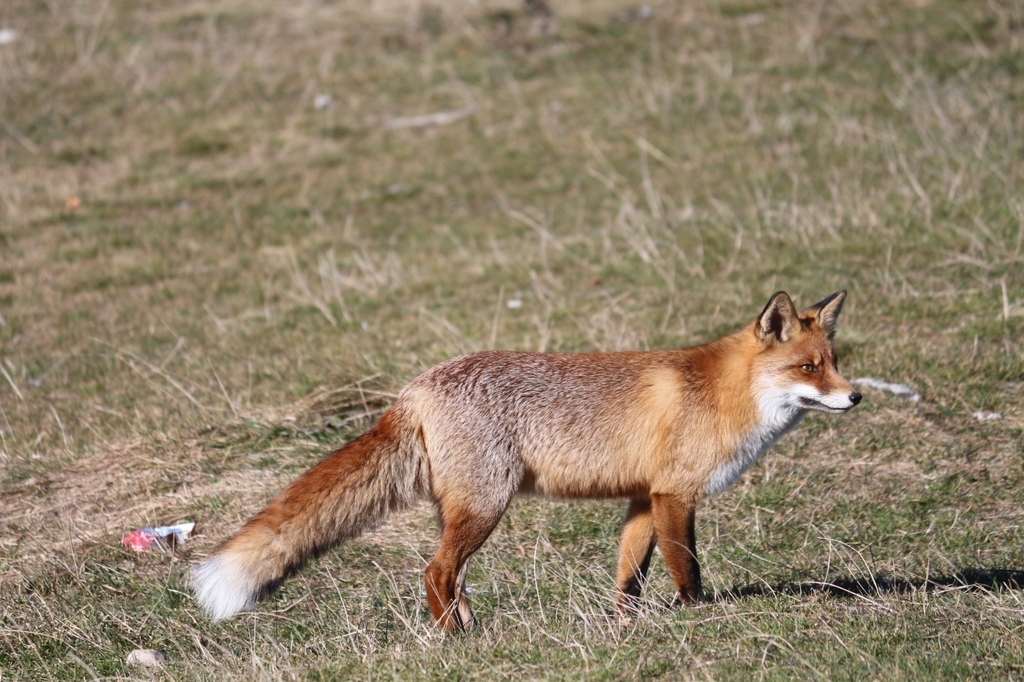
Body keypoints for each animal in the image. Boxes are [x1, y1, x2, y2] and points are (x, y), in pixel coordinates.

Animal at [191, 290, 861, 631]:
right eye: (808, 368)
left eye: (834, 362)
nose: (855, 396)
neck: (722, 393)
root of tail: (415, 386)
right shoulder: (675, 494)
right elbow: (687, 570)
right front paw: (698, 620)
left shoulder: (643, 499)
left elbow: (630, 576)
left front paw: (624, 626)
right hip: (486, 506)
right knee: (435, 572)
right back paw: (455, 642)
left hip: (463, 510)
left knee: (452, 575)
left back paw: (468, 630)